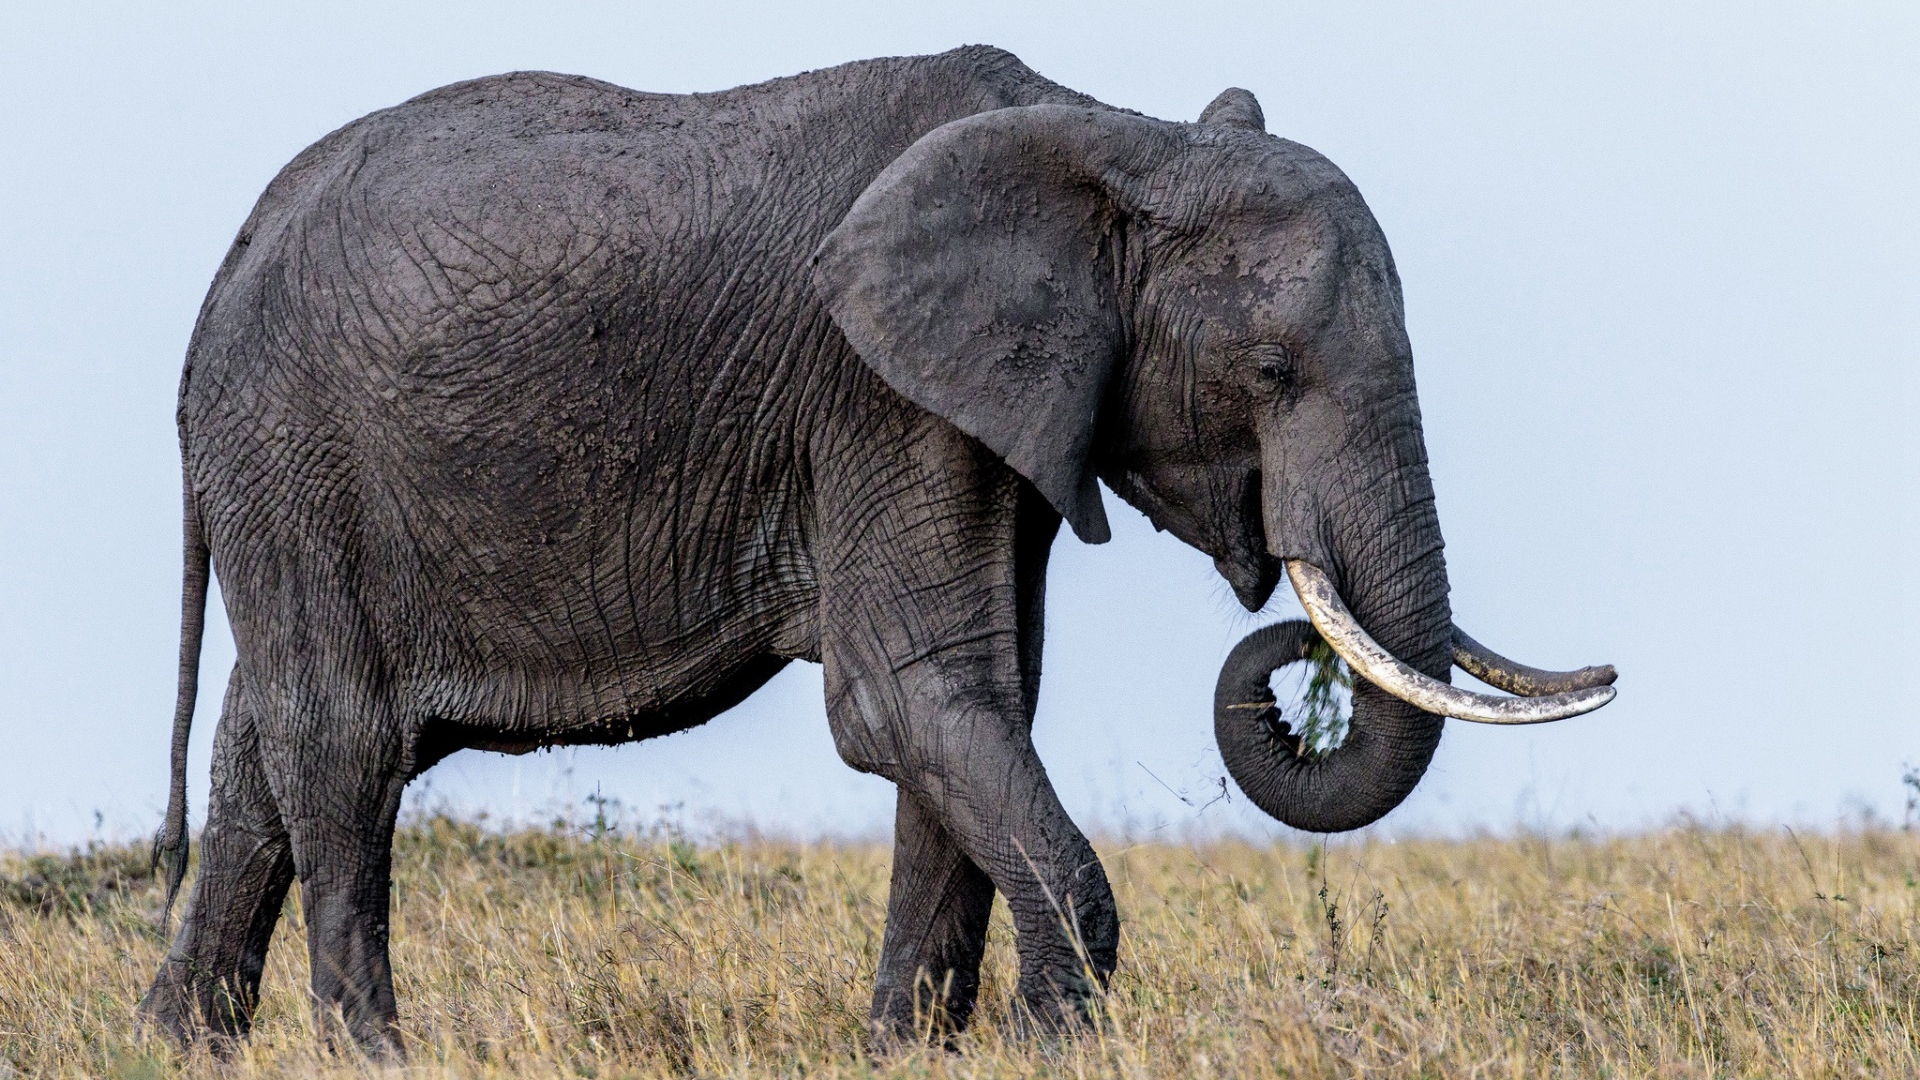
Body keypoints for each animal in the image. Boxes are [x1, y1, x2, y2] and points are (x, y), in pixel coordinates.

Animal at [131, 48, 1605, 1053]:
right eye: (1273, 370)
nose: (1292, 663)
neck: (1115, 137)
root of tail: (229, 258)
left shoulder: (990, 412)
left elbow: (979, 702)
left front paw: (910, 1050)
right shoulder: (875, 395)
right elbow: (908, 699)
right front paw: (1049, 1046)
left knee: (258, 749)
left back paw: (179, 1046)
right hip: (296, 446)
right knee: (343, 744)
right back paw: (368, 1053)